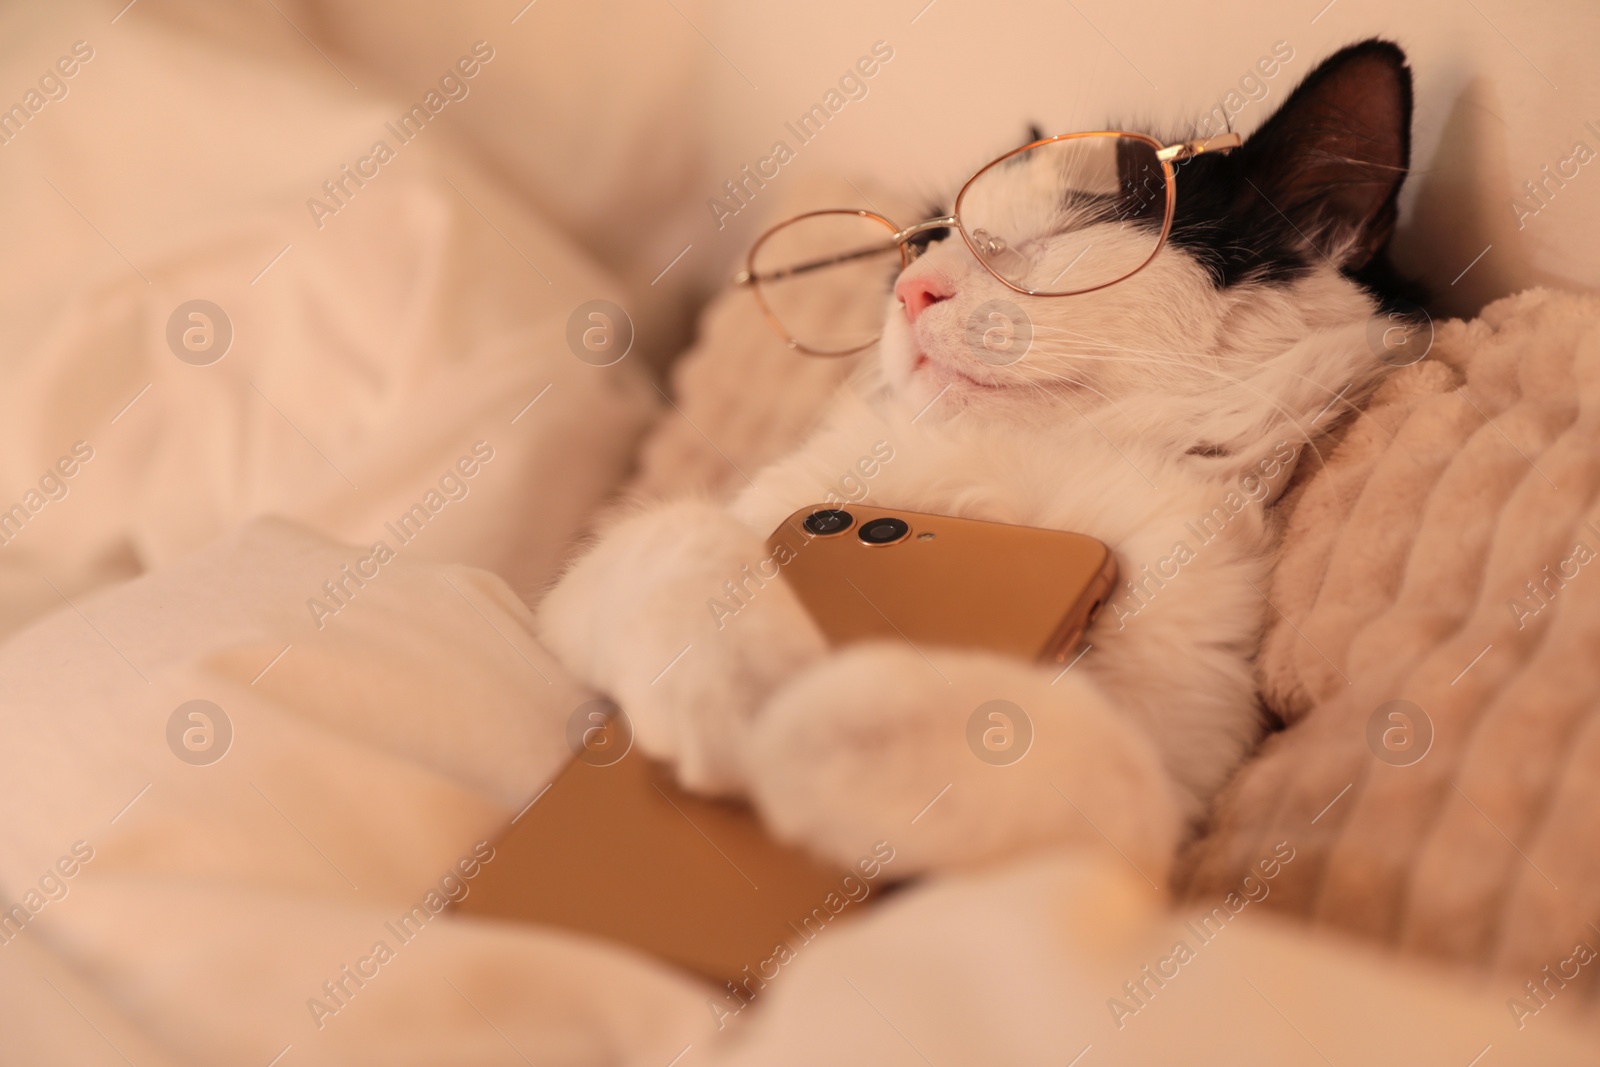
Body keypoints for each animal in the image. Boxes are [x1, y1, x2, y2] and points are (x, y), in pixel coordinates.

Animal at [537, 37, 1414, 883]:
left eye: (1064, 234)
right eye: (928, 240)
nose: (914, 290)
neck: (999, 472)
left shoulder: (1174, 776)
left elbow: (1068, 746)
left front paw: (824, 727)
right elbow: (680, 539)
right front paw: (738, 687)